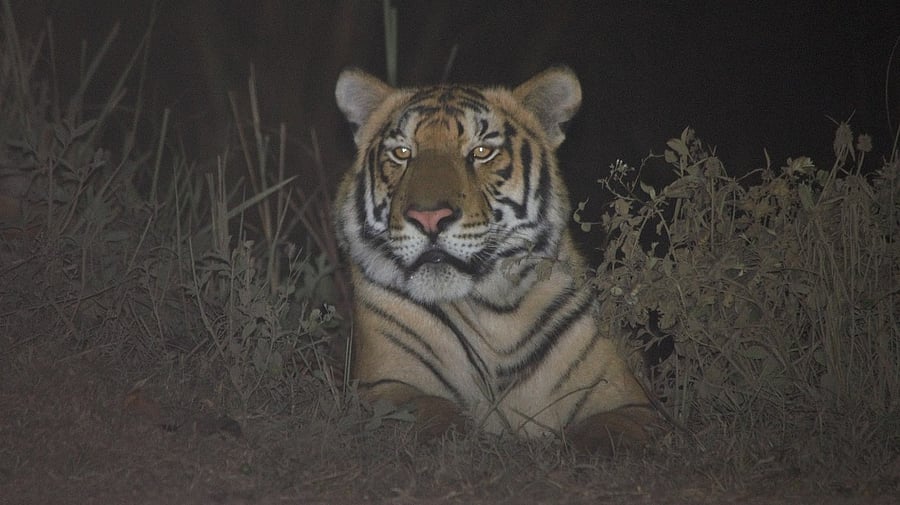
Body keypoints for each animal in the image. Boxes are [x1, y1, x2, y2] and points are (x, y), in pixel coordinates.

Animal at [333, 66, 657, 452]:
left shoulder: (630, 400)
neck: (494, 312)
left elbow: (611, 430)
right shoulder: (384, 386)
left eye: (481, 151)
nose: (429, 218)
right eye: (402, 152)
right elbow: (431, 413)